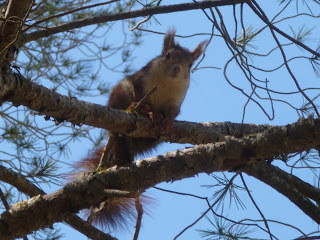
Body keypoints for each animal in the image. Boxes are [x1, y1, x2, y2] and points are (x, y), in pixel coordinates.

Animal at [73, 29, 206, 231]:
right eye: (167, 55)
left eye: (190, 65)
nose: (177, 69)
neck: (167, 83)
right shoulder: (141, 81)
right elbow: (143, 99)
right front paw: (149, 111)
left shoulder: (177, 99)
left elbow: (174, 111)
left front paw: (168, 119)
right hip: (121, 92)